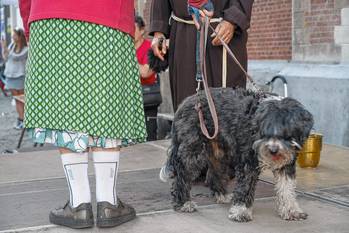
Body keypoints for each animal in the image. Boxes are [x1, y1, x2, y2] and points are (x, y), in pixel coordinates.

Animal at [167, 88, 312, 222]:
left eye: (287, 132)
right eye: (265, 131)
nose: (273, 150)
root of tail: (186, 102)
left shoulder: (287, 165)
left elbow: (287, 187)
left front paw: (291, 210)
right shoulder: (248, 161)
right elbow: (245, 186)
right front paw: (241, 211)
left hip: (220, 152)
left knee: (214, 174)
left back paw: (222, 195)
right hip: (193, 150)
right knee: (182, 175)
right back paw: (183, 203)